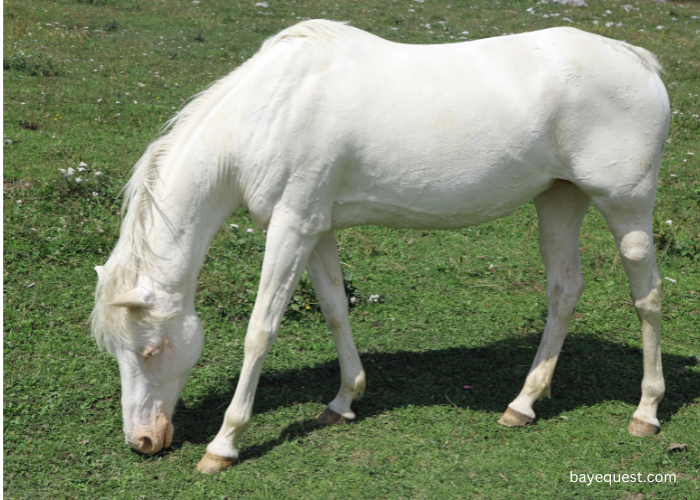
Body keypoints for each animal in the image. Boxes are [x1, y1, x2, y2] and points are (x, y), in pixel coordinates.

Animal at [90, 20, 668, 472]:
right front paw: (344, 399)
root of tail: (638, 62)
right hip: (559, 201)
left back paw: (645, 412)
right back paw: (523, 403)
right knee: (564, 292)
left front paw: (224, 443)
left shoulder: (291, 228)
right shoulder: (316, 229)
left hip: (627, 210)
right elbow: (333, 310)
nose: (143, 441)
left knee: (648, 298)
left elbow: (260, 330)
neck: (271, 111)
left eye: (150, 350)